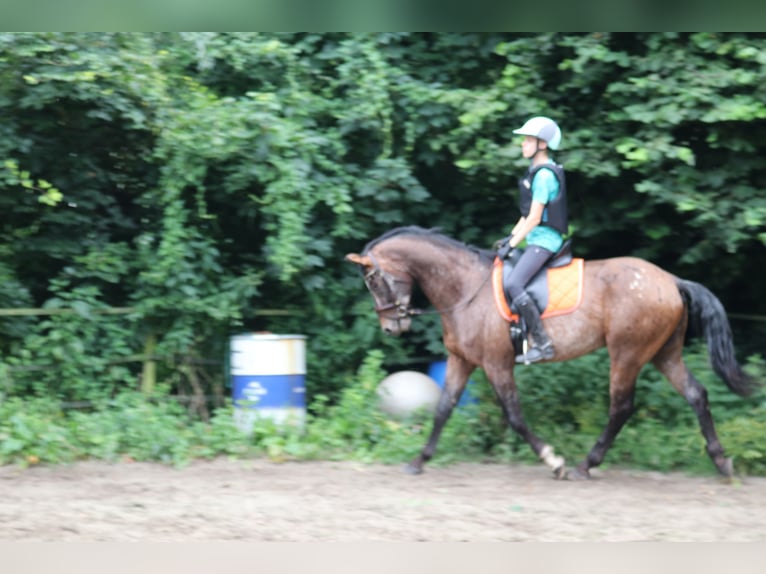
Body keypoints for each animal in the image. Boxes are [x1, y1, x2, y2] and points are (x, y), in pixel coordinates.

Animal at [346, 225, 756, 482]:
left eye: (373, 281)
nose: (392, 327)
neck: (465, 288)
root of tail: (671, 280)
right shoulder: (462, 361)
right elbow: (444, 408)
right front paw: (418, 460)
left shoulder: (496, 364)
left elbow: (514, 415)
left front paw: (553, 460)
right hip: (663, 354)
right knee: (696, 394)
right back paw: (722, 462)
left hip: (627, 355)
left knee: (621, 407)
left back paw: (584, 465)